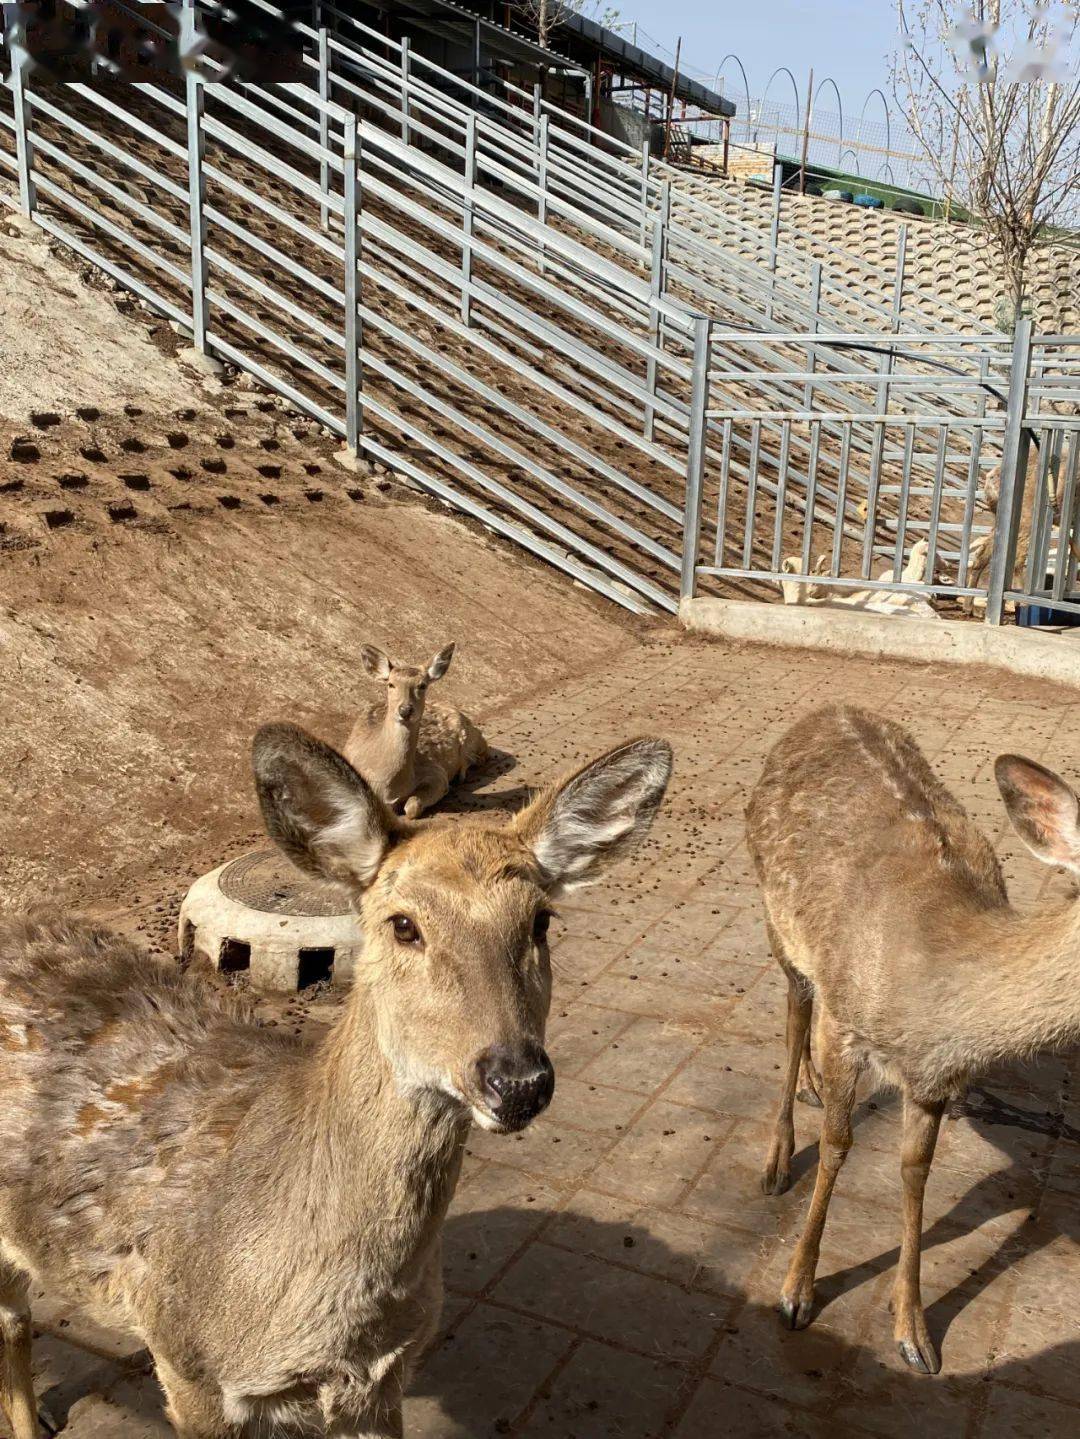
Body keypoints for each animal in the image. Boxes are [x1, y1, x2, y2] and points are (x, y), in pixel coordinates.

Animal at [0, 725, 673, 1433]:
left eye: (540, 920)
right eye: (403, 924)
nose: (517, 1079)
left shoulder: (382, 1378)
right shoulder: (185, 1356)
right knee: (14, 1317)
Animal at [343, 644, 488, 823]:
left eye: (422, 685)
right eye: (391, 684)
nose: (405, 710)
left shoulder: (436, 773)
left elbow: (412, 806)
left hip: (473, 739)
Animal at [747, 702, 1080, 1375]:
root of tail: (825, 710)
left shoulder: (934, 1077)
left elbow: (915, 1171)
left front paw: (914, 1331)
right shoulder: (848, 1024)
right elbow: (838, 1148)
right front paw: (796, 1292)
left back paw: (811, 1090)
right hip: (775, 913)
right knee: (795, 1008)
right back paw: (778, 1156)